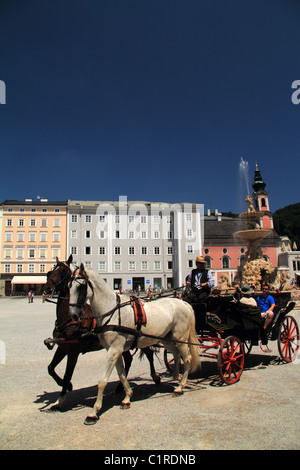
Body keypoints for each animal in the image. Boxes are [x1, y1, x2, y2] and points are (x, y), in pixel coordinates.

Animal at [43, 255, 161, 410]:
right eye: (50, 272)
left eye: (63, 273)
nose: (46, 289)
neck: (68, 319)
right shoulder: (63, 346)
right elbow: (51, 368)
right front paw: (65, 387)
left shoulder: (73, 350)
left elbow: (68, 374)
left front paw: (62, 396)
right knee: (129, 359)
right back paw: (120, 387)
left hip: (139, 340)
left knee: (149, 355)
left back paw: (155, 377)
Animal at [69, 264, 200, 426]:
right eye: (69, 286)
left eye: (80, 287)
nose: (73, 315)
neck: (112, 311)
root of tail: (183, 302)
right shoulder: (114, 350)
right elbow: (122, 375)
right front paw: (127, 398)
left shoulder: (114, 350)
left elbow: (102, 381)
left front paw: (93, 413)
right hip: (166, 338)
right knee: (176, 354)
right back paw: (177, 376)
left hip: (180, 338)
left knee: (186, 358)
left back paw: (180, 387)